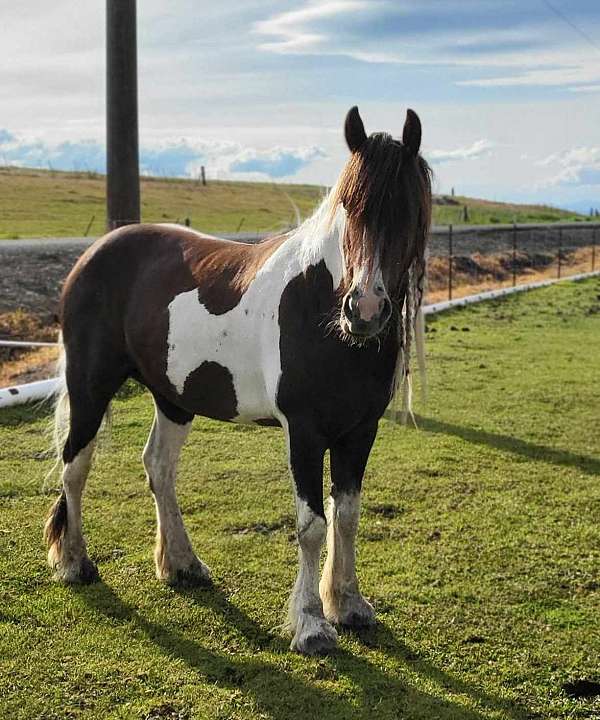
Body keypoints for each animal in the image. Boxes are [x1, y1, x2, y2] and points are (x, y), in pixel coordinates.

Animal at [44, 105, 434, 652]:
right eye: (349, 209)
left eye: (408, 213)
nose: (365, 310)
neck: (320, 308)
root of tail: (96, 251)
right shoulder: (305, 432)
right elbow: (312, 524)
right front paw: (311, 625)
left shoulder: (360, 431)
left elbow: (348, 516)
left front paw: (348, 605)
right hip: (90, 386)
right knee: (75, 468)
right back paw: (76, 563)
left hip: (173, 397)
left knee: (159, 467)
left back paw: (182, 564)